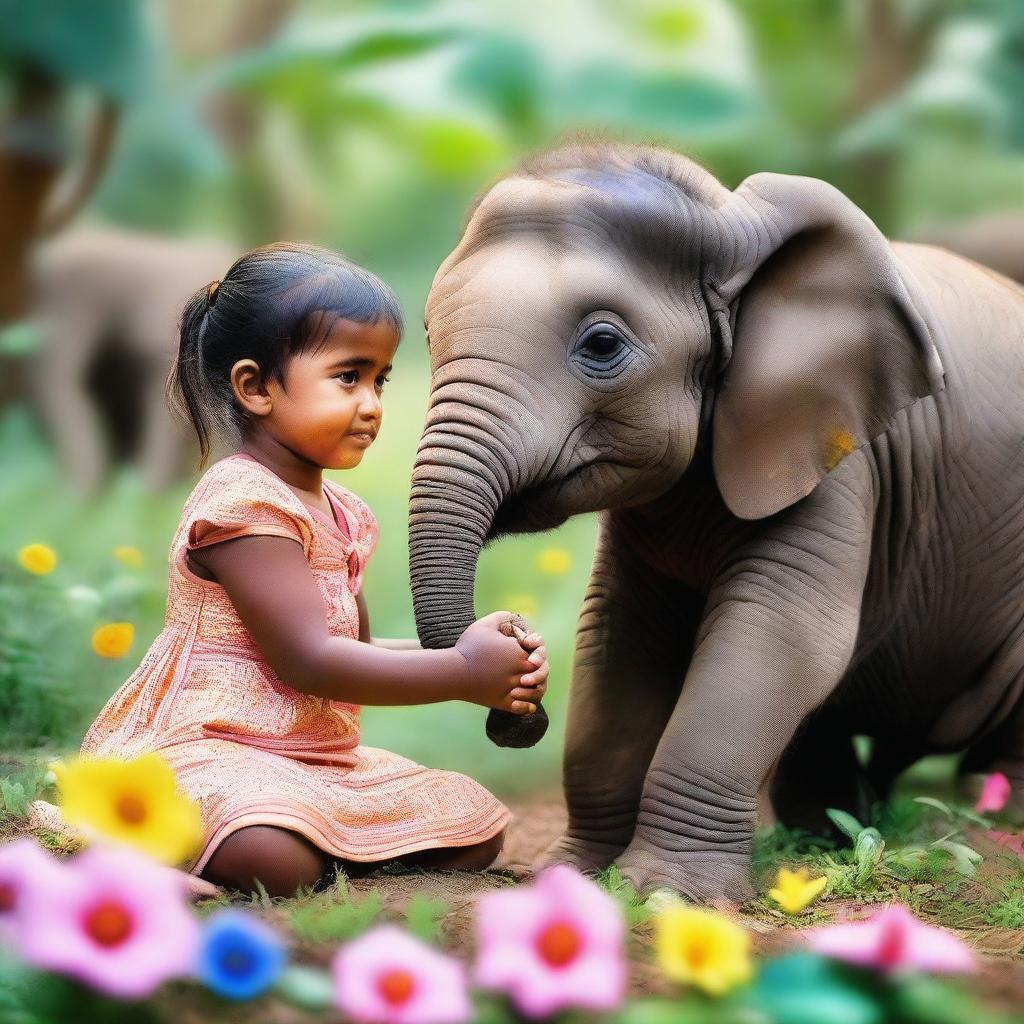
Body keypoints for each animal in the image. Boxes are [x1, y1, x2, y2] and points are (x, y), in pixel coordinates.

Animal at [407, 144, 1024, 905]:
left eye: (602, 345)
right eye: (428, 332)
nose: (520, 710)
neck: (727, 218)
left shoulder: (842, 463)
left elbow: (780, 634)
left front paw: (665, 895)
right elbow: (616, 639)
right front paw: (573, 876)